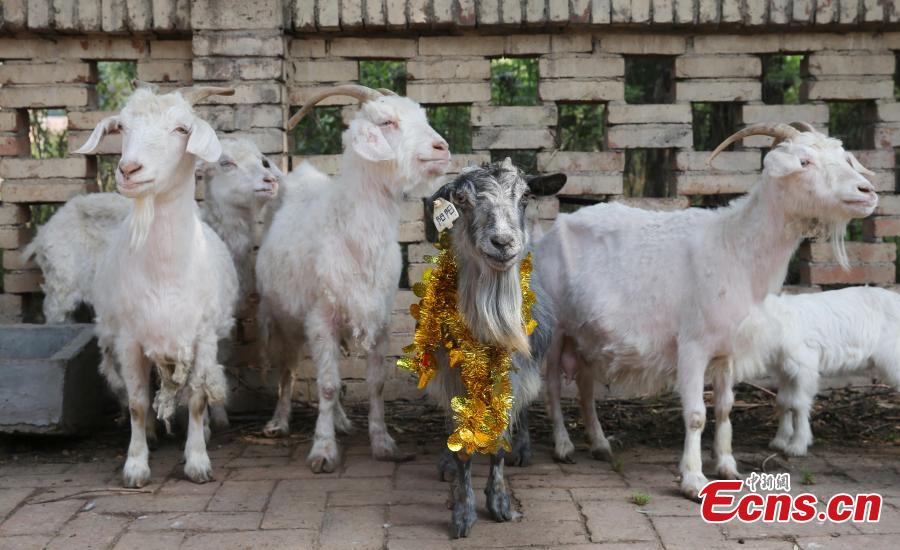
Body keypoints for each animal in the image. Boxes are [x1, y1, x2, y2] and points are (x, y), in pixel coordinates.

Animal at [73, 85, 237, 488]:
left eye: (182, 129)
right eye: (122, 127)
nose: (129, 169)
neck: (165, 273)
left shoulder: (202, 336)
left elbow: (196, 398)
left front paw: (197, 461)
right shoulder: (130, 338)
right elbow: (136, 402)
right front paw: (135, 466)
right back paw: (150, 433)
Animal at [256, 85, 450, 474]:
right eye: (387, 122)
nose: (442, 148)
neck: (351, 234)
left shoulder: (380, 316)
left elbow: (375, 384)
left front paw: (383, 442)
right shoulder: (320, 316)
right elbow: (328, 385)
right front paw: (323, 450)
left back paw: (342, 421)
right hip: (281, 319)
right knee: (288, 371)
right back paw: (280, 422)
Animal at [536, 122, 876, 500]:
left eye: (844, 157)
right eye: (804, 161)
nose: (866, 191)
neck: (733, 246)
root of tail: (551, 231)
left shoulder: (727, 349)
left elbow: (725, 408)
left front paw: (727, 466)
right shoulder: (692, 346)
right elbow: (696, 414)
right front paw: (693, 479)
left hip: (587, 332)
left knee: (584, 383)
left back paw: (599, 444)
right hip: (556, 327)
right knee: (553, 385)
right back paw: (563, 446)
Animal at [736, 286, 900, 460]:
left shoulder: (803, 365)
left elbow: (799, 404)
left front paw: (798, 445)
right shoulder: (784, 371)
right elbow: (783, 401)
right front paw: (780, 441)